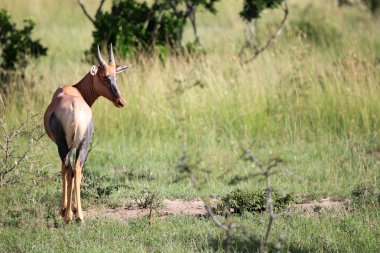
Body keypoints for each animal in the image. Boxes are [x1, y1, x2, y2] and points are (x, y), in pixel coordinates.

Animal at [44, 44, 129, 223]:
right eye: (104, 76)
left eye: (115, 76)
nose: (121, 102)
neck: (74, 90)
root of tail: (75, 108)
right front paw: (73, 209)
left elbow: (65, 170)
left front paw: (65, 210)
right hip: (83, 143)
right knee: (77, 169)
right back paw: (79, 216)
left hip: (65, 145)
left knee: (69, 168)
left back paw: (69, 215)